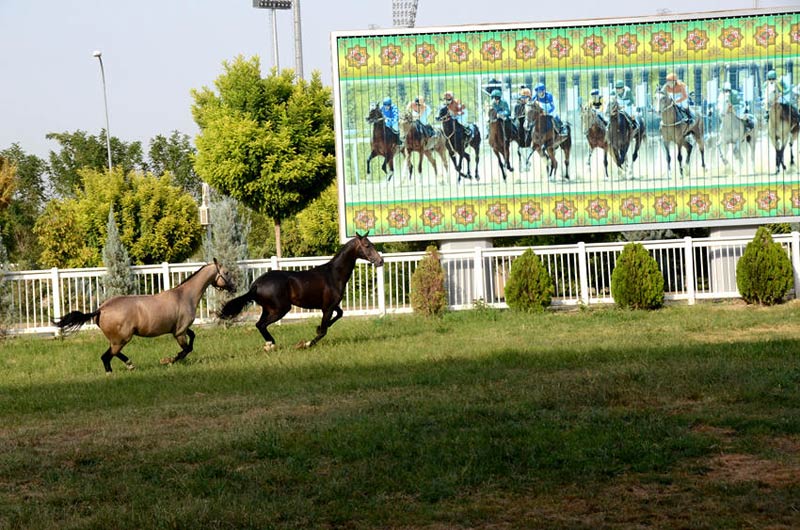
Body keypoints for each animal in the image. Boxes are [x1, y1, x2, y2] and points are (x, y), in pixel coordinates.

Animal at [52, 260, 234, 372]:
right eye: (226, 272)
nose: (233, 287)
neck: (184, 295)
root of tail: (101, 309)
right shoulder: (179, 332)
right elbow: (187, 349)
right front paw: (169, 360)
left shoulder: (180, 329)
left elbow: (193, 338)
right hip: (122, 339)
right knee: (106, 357)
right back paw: (115, 371)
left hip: (118, 340)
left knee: (111, 354)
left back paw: (130, 365)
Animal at [217, 232, 382, 348]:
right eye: (367, 245)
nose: (380, 261)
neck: (333, 274)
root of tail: (256, 285)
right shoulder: (327, 308)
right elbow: (324, 331)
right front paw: (307, 343)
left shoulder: (331, 305)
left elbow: (339, 314)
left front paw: (318, 328)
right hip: (280, 309)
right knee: (262, 325)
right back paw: (271, 344)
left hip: (268, 309)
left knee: (259, 324)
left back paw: (269, 344)